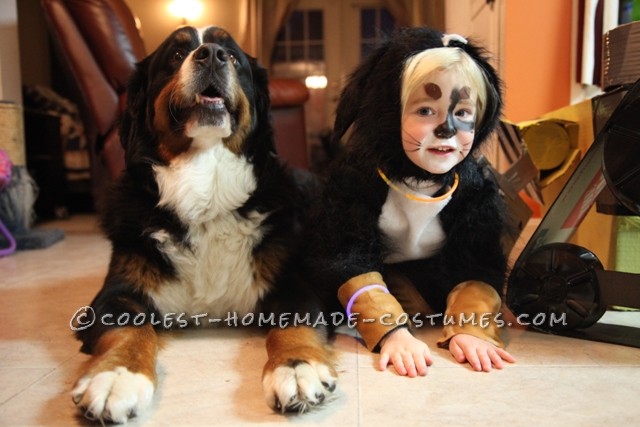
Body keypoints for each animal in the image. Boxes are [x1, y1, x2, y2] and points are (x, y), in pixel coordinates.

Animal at [71, 26, 306, 424]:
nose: (211, 55)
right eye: (177, 54)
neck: (204, 192)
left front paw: (297, 369)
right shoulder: (117, 293)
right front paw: (116, 377)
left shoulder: (292, 283)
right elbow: (128, 329)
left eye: (233, 55)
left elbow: (293, 327)